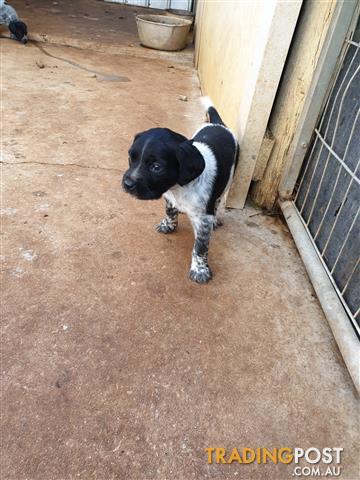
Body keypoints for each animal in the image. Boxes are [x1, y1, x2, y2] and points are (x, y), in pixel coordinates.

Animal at [122, 99, 238, 284]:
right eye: (130, 158)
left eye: (156, 167)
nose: (127, 184)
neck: (179, 187)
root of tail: (218, 123)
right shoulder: (169, 196)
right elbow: (170, 211)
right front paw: (168, 225)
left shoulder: (202, 219)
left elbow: (200, 247)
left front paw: (199, 269)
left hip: (230, 178)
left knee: (219, 199)